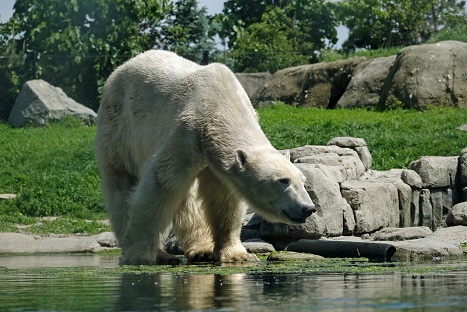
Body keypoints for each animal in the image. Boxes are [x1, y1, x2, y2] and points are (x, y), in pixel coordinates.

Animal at [95, 50, 316, 264]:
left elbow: (224, 198)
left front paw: (237, 255)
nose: (308, 208)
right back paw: (161, 254)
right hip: (118, 127)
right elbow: (160, 183)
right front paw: (138, 255)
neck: (219, 105)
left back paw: (202, 250)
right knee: (123, 186)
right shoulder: (187, 131)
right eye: (283, 181)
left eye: (303, 180)